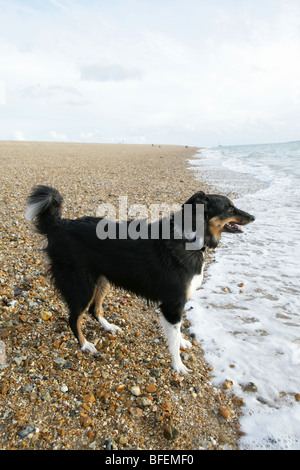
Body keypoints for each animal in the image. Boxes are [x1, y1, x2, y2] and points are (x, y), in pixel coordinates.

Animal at [26, 185, 255, 372]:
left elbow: (177, 331)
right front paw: (178, 366)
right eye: (230, 208)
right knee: (74, 318)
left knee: (93, 310)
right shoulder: (172, 304)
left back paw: (108, 326)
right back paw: (85, 345)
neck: (190, 238)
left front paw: (182, 343)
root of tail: (58, 225)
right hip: (82, 285)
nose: (253, 217)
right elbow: (173, 338)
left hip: (101, 279)